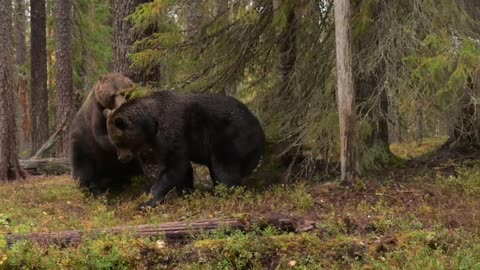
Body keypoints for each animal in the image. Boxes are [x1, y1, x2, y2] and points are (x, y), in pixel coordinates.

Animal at [103, 90, 266, 207]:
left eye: (119, 142)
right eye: (114, 143)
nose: (122, 158)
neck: (151, 124)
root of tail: (259, 127)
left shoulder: (172, 129)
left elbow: (175, 166)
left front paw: (148, 201)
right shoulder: (161, 141)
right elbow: (183, 168)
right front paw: (186, 193)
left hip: (230, 136)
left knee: (224, 167)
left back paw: (223, 193)